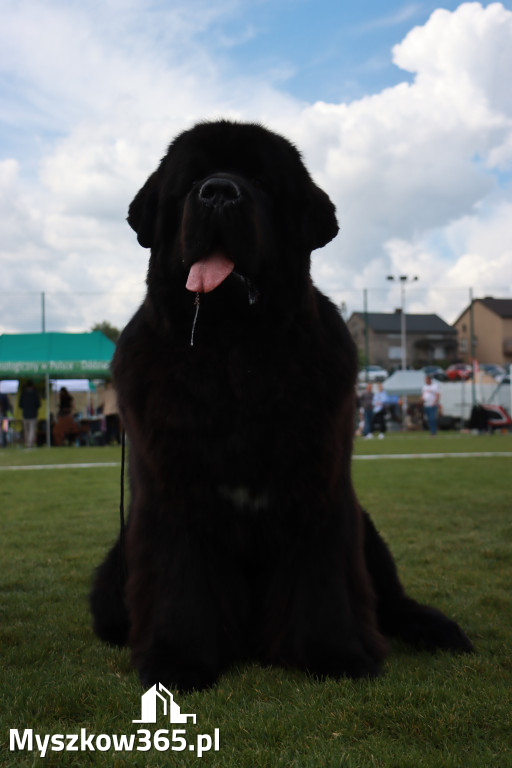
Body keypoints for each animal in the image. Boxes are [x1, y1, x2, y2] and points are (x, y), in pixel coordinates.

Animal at [90, 118, 474, 688]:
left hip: (367, 529)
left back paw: (438, 629)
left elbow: (322, 579)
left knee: (391, 601)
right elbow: (180, 576)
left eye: (259, 181)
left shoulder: (318, 486)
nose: (218, 192)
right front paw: (178, 660)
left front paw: (334, 654)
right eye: (193, 181)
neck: (234, 351)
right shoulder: (172, 493)